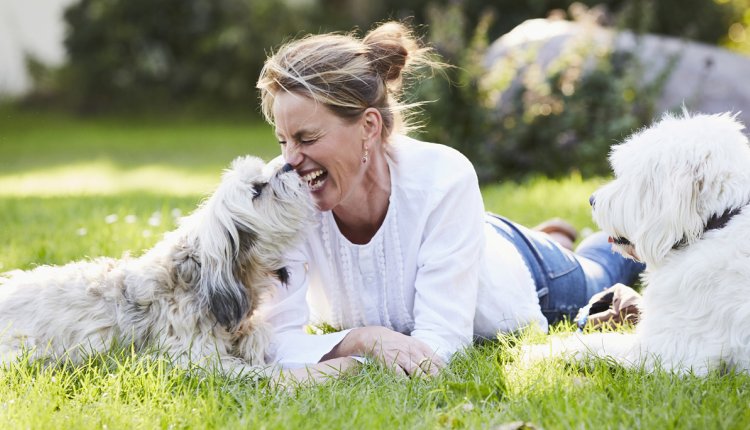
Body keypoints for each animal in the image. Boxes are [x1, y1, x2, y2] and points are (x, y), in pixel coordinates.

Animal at [524, 111, 750, 376]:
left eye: (631, 177)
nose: (592, 200)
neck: (719, 222)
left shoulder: (667, 354)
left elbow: (596, 342)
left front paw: (535, 351)